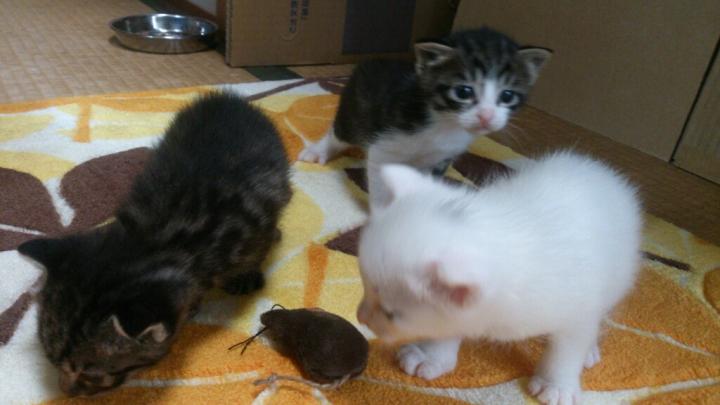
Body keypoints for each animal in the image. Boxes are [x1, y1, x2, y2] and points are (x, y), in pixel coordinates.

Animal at [17, 92, 292, 396]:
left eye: (90, 373)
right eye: (52, 360)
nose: (65, 391)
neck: (155, 240)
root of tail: (229, 97)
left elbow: (255, 250)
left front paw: (245, 274)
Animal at [298, 27, 551, 208]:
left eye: (507, 95)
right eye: (463, 92)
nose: (486, 117)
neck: (444, 123)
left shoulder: (442, 158)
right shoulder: (384, 147)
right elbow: (380, 186)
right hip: (356, 111)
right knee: (339, 133)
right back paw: (319, 150)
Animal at [356, 152, 642, 405]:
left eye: (391, 314)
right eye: (364, 287)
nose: (360, 317)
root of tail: (598, 168)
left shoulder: (578, 307)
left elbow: (568, 347)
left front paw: (556, 384)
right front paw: (430, 355)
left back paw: (590, 350)